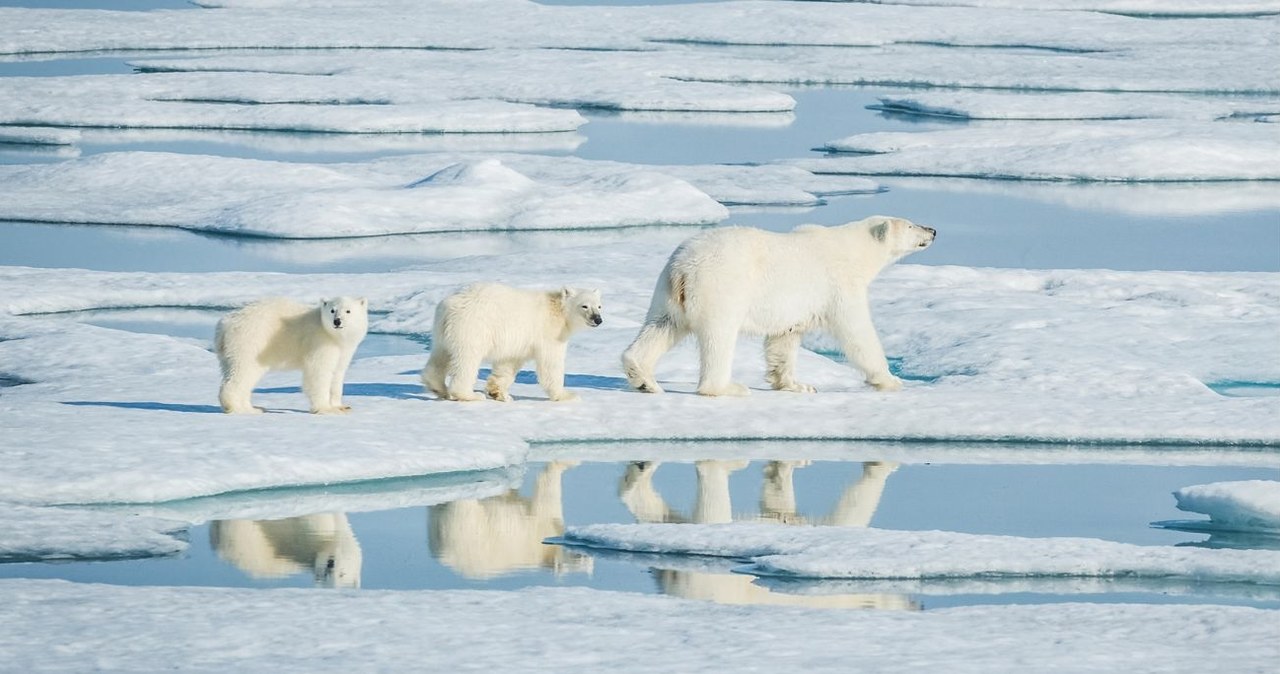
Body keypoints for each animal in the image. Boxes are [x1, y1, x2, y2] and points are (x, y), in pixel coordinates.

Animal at [215, 297, 366, 414]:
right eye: (332, 310)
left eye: (348, 311)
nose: (337, 321)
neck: (333, 335)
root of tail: (225, 325)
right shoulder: (319, 342)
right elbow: (318, 372)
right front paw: (325, 409)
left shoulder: (343, 350)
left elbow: (337, 374)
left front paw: (341, 406)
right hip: (250, 341)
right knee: (243, 372)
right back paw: (239, 408)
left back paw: (253, 407)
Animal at [419, 283, 599, 404]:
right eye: (584, 306)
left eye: (599, 306)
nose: (598, 319)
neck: (558, 310)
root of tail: (450, 305)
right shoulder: (549, 333)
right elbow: (551, 364)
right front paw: (567, 395)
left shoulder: (518, 342)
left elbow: (508, 364)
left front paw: (500, 394)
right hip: (473, 327)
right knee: (467, 360)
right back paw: (470, 395)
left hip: (442, 331)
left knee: (440, 355)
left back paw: (438, 388)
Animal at [624, 216, 936, 396]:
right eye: (911, 225)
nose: (933, 230)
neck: (853, 250)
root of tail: (683, 267)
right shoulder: (838, 285)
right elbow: (857, 332)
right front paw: (889, 380)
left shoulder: (794, 307)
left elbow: (783, 340)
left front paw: (797, 385)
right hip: (721, 286)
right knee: (719, 336)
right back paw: (728, 388)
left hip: (667, 293)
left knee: (661, 326)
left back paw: (644, 379)